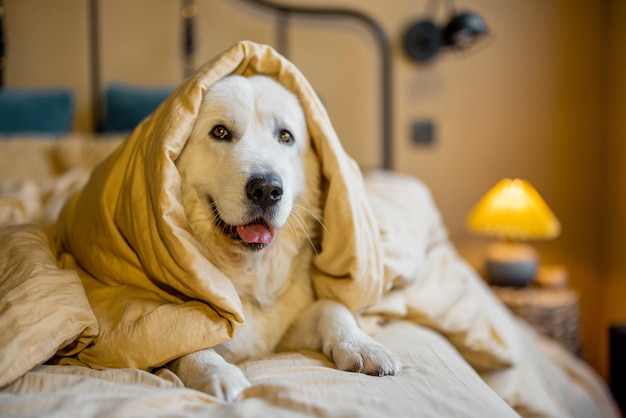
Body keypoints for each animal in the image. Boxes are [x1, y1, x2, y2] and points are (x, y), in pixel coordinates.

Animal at [171, 76, 398, 402]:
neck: (248, 273)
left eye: (285, 137)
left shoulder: (285, 333)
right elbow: (187, 343)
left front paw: (362, 345)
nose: (266, 190)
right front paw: (218, 374)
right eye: (220, 132)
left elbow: (330, 307)